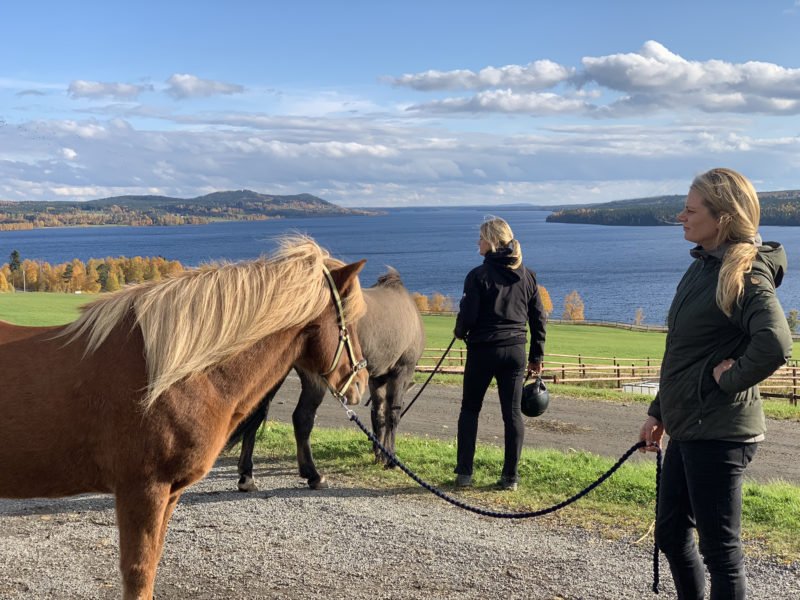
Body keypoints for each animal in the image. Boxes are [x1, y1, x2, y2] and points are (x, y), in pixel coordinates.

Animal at [0, 237, 368, 596]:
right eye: (350, 322)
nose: (361, 383)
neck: (172, 377)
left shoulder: (169, 492)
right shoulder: (143, 489)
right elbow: (139, 574)